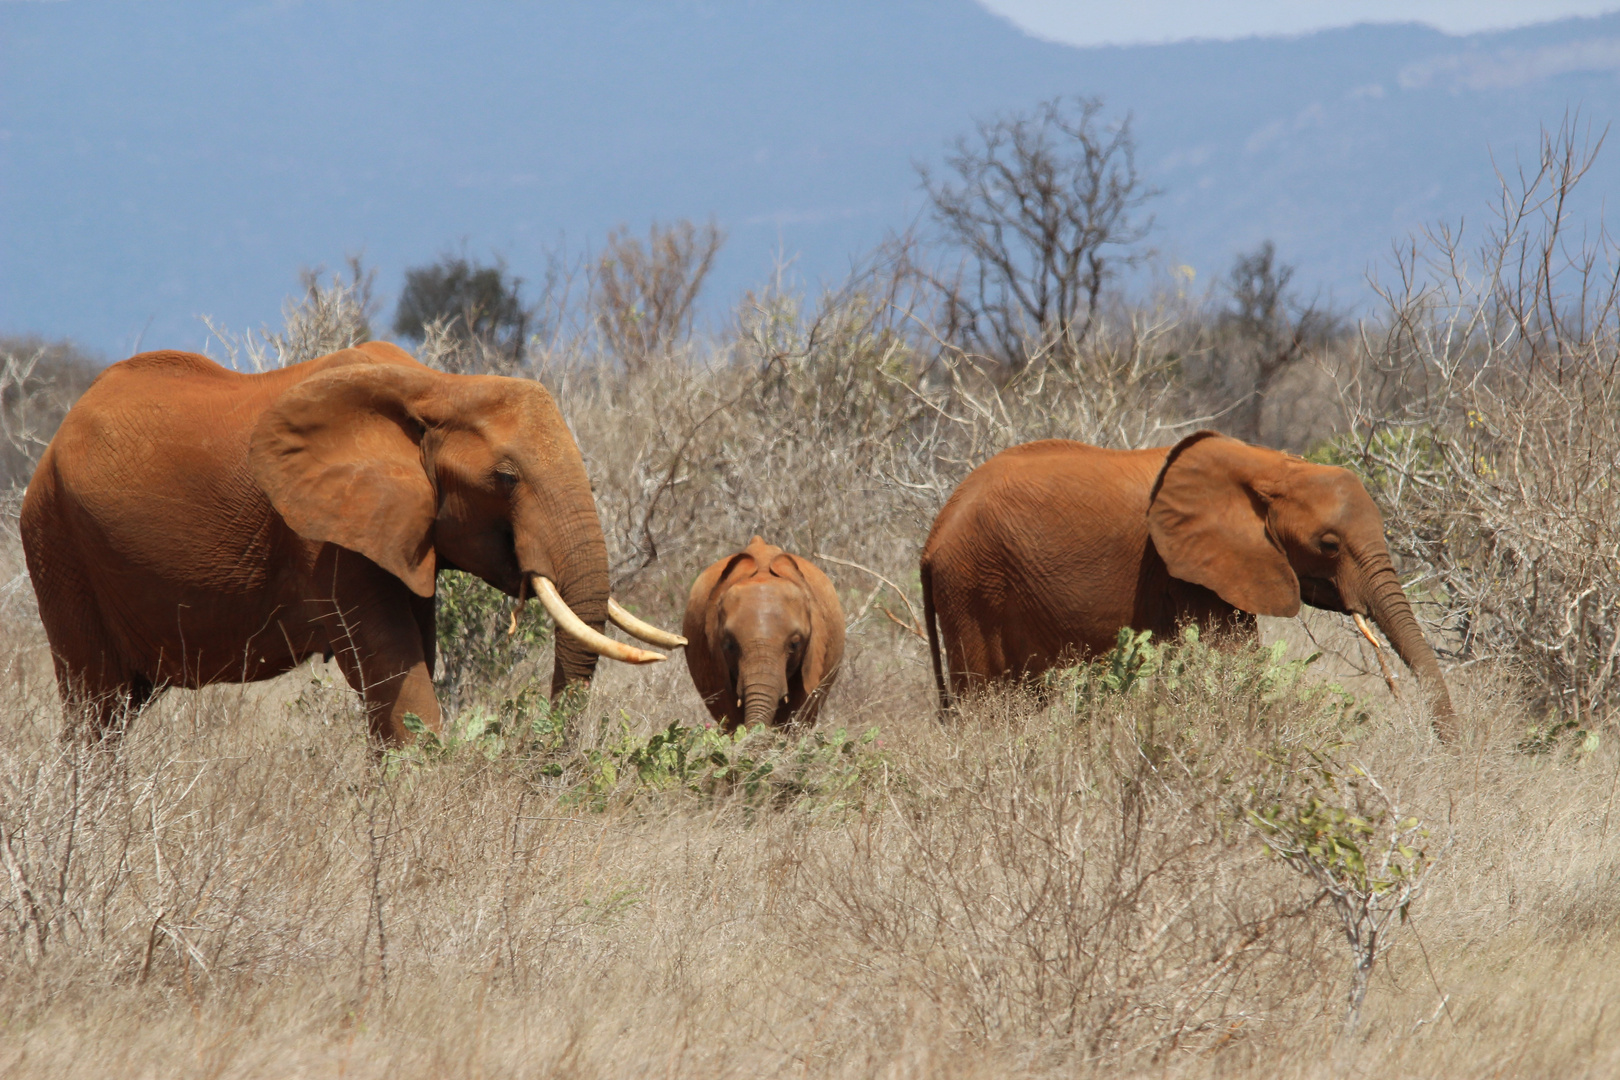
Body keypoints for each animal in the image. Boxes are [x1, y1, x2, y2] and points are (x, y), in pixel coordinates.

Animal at [23, 346, 683, 744]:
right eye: (505, 478)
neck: (439, 386)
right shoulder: (324, 538)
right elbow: (395, 670)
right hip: (56, 542)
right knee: (96, 707)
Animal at [920, 433, 1464, 738]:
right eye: (1329, 545)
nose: (1446, 751)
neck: (1270, 466)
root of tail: (932, 537)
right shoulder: (1189, 569)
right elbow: (1232, 659)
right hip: (974, 588)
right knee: (987, 704)